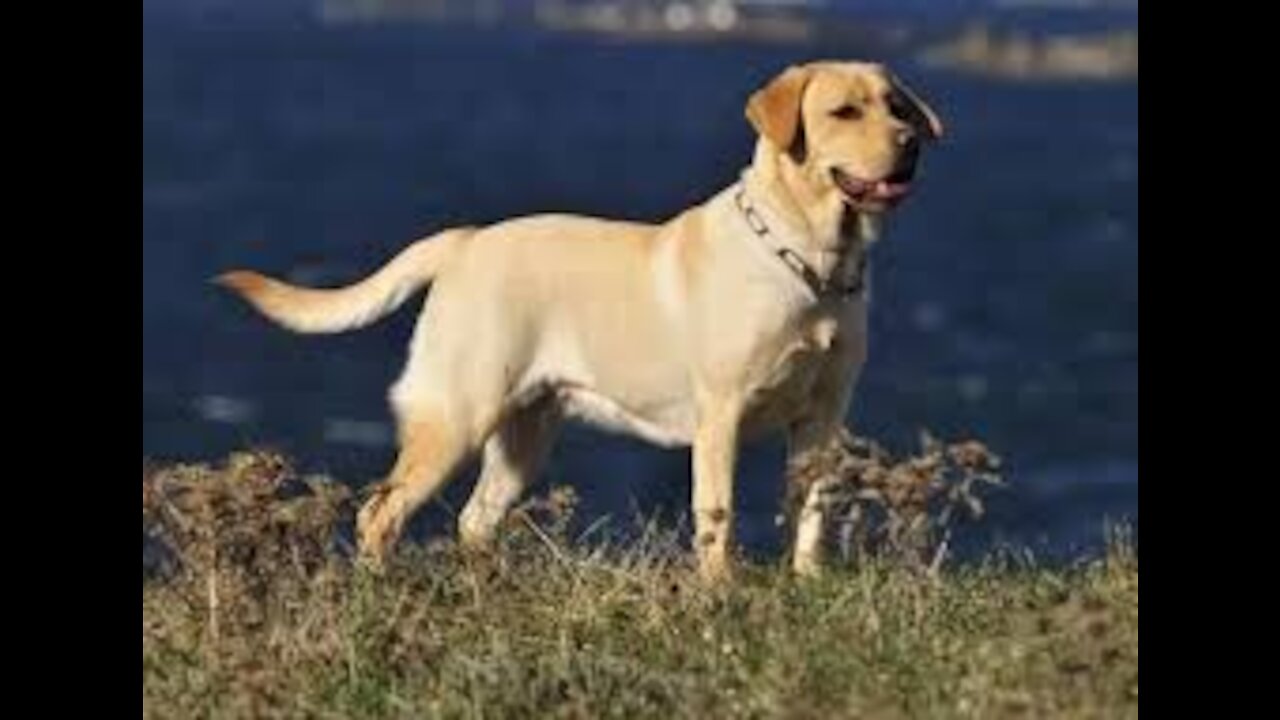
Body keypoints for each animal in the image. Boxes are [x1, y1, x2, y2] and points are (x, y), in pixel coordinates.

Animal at [217, 60, 942, 576]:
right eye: (844, 111)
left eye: (897, 107)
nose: (910, 143)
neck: (810, 261)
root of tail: (464, 241)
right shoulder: (722, 415)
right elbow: (718, 515)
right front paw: (720, 596)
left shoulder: (823, 417)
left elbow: (812, 509)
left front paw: (807, 583)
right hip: (457, 416)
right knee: (380, 514)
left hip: (525, 435)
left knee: (474, 520)